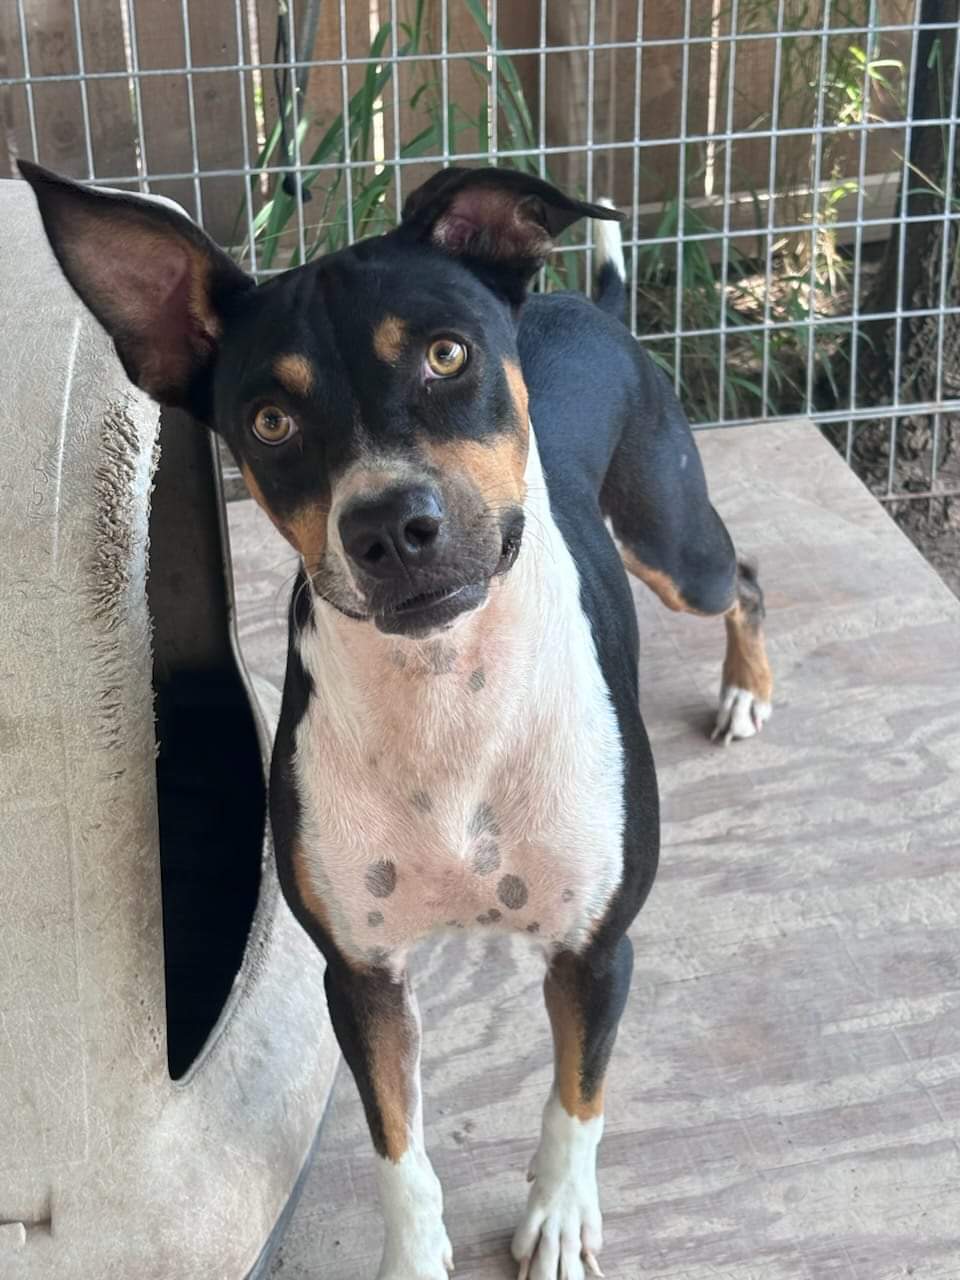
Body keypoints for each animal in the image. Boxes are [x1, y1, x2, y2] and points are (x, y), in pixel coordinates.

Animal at [22, 162, 773, 1280]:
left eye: (445, 354)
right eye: (270, 419)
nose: (388, 525)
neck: (443, 692)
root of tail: (581, 304)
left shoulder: (598, 949)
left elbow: (575, 1097)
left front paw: (558, 1216)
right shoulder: (362, 977)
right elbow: (398, 1146)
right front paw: (417, 1255)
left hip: (673, 542)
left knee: (745, 578)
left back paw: (746, 688)